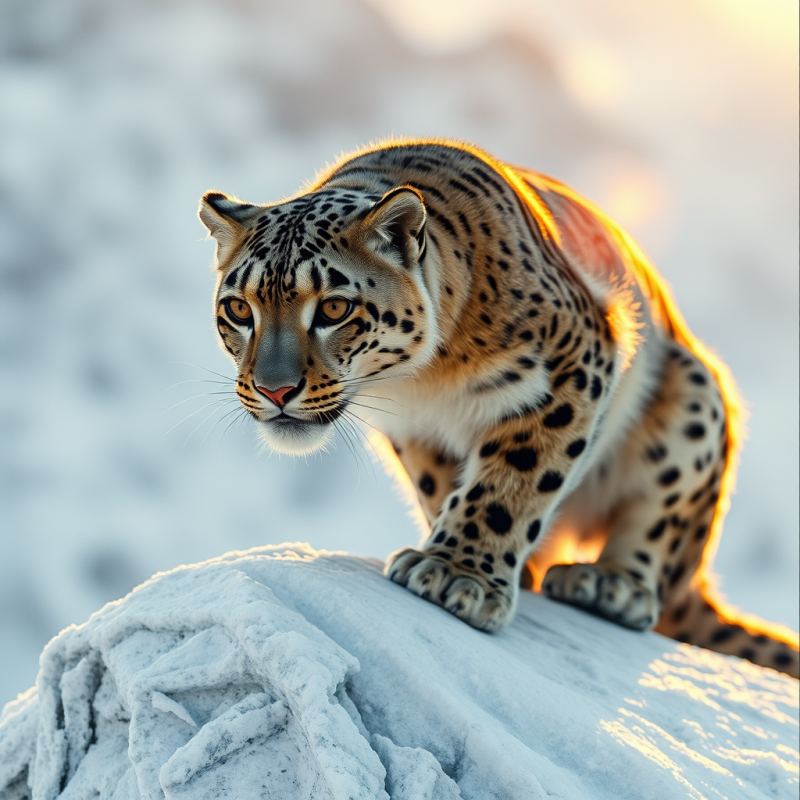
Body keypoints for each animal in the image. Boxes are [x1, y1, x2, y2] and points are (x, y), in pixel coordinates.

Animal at [198, 138, 798, 678]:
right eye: (239, 309)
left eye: (333, 308)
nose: (275, 390)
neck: (424, 382)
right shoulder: (417, 433)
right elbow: (445, 485)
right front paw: (469, 558)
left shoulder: (571, 366)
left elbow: (512, 481)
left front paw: (456, 574)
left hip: (696, 409)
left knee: (659, 549)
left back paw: (609, 584)